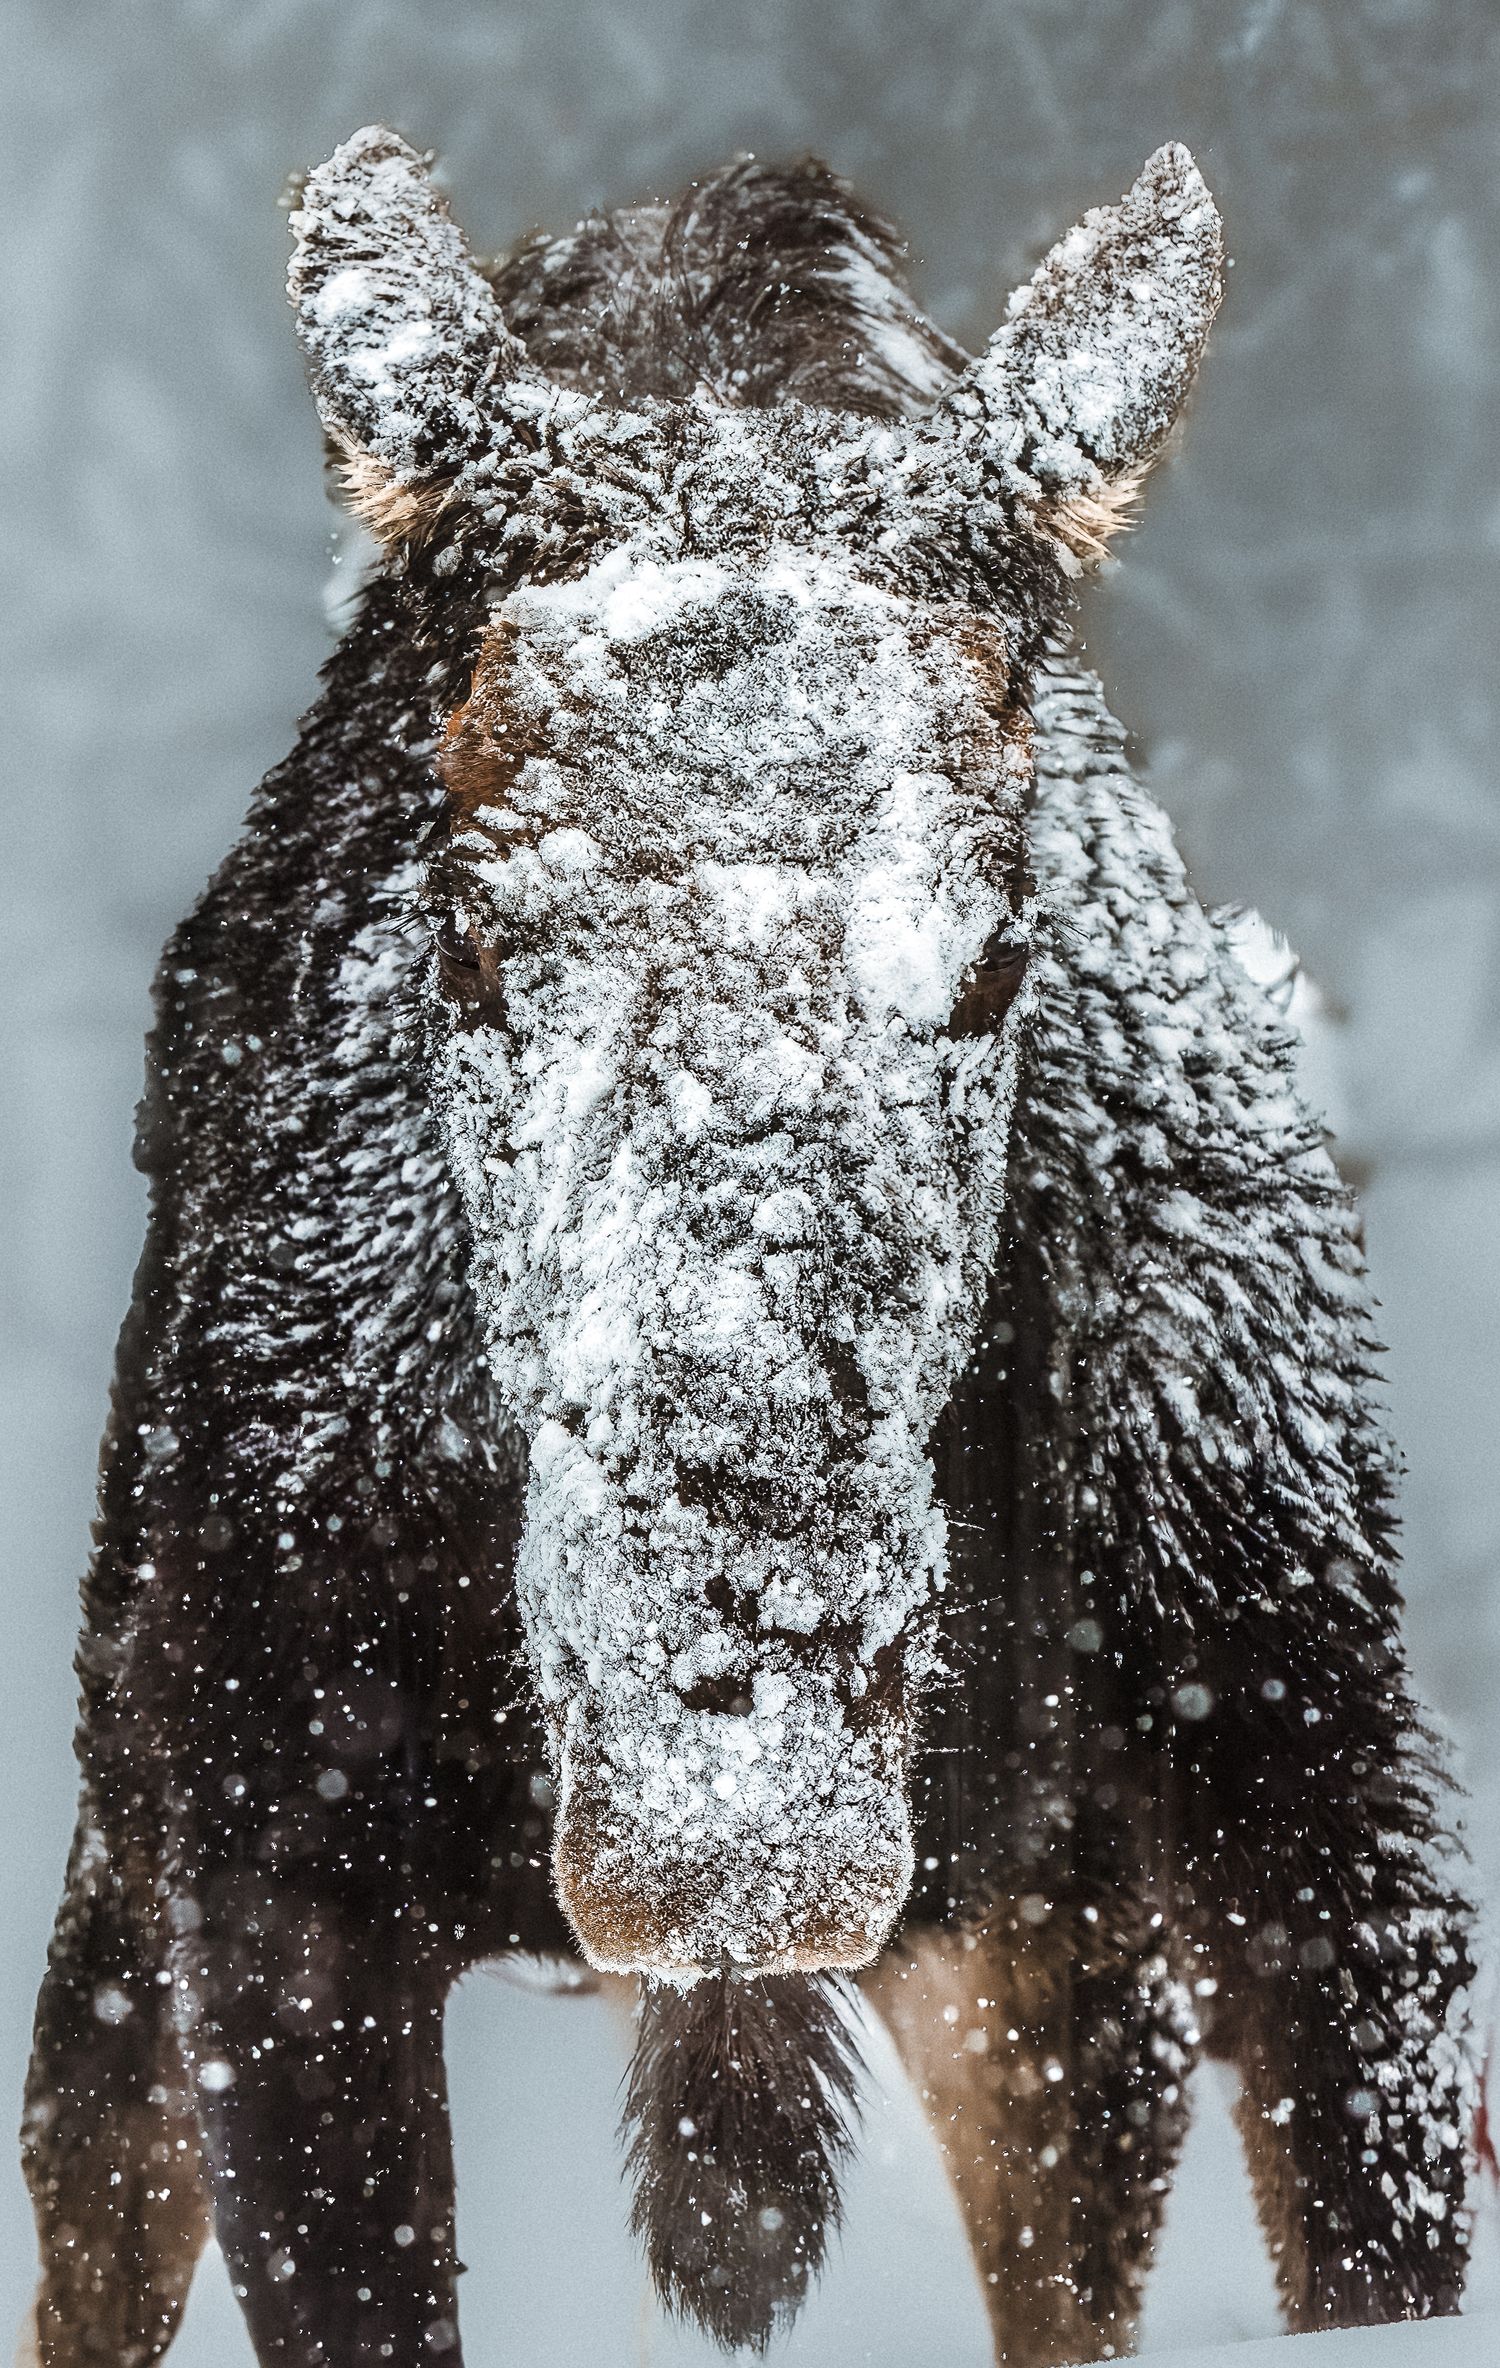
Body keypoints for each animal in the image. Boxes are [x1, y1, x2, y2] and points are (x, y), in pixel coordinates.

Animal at [20, 127, 1473, 2368]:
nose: (733, 1825)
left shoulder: (1303, 1820)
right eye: (472, 929)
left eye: (995, 950)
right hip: (119, 1853)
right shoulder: (263, 1872)